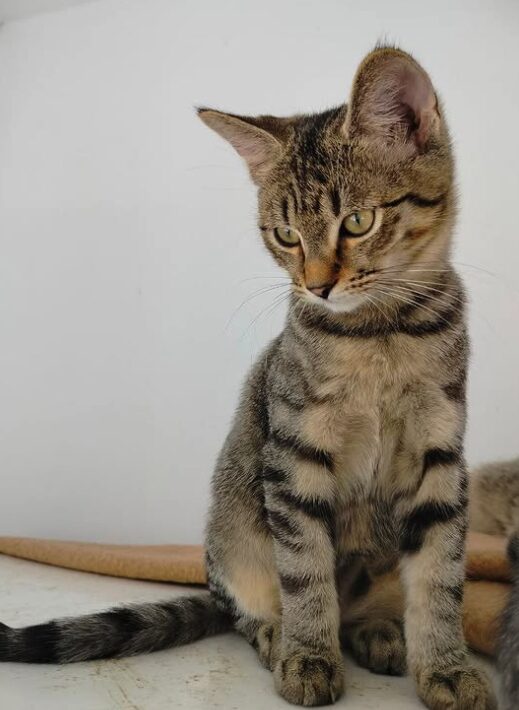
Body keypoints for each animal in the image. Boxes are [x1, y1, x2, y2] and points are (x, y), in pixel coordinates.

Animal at [0, 47, 500, 708]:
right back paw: (280, 638)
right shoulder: (293, 453)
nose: (316, 286)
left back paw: (377, 631)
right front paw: (310, 655)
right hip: (235, 536)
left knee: (363, 602)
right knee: (249, 607)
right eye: (286, 235)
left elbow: (441, 579)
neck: (379, 336)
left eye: (358, 222)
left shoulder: (440, 457)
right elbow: (306, 572)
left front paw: (446, 668)